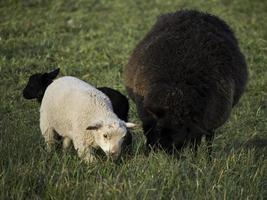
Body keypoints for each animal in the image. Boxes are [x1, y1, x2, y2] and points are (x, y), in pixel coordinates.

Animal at [123, 9, 249, 153]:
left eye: (180, 128)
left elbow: (197, 141)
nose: (166, 150)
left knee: (208, 139)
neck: (175, 94)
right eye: (160, 128)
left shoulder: (201, 123)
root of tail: (196, 12)